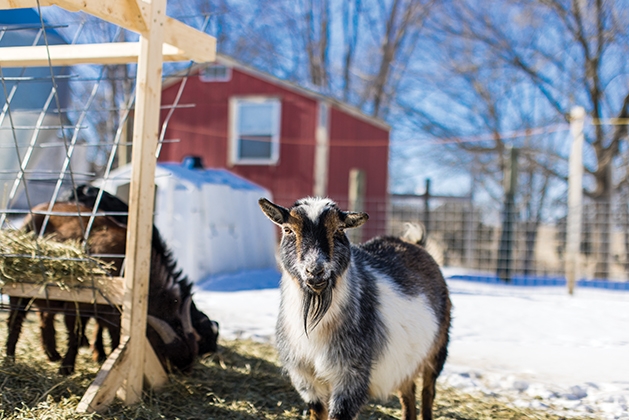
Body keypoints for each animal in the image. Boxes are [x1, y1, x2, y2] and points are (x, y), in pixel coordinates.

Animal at [3, 185, 218, 376]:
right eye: (164, 353)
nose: (186, 371)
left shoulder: (111, 311)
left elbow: (111, 334)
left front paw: (107, 357)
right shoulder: (79, 303)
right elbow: (76, 333)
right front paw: (67, 368)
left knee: (45, 316)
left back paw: (51, 353)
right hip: (20, 285)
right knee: (16, 318)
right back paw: (10, 357)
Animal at [258, 198, 448, 420]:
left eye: (339, 230)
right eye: (288, 230)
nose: (315, 271)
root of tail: (413, 243)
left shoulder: (351, 376)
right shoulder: (306, 378)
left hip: (438, 349)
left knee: (428, 391)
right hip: (406, 360)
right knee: (408, 392)